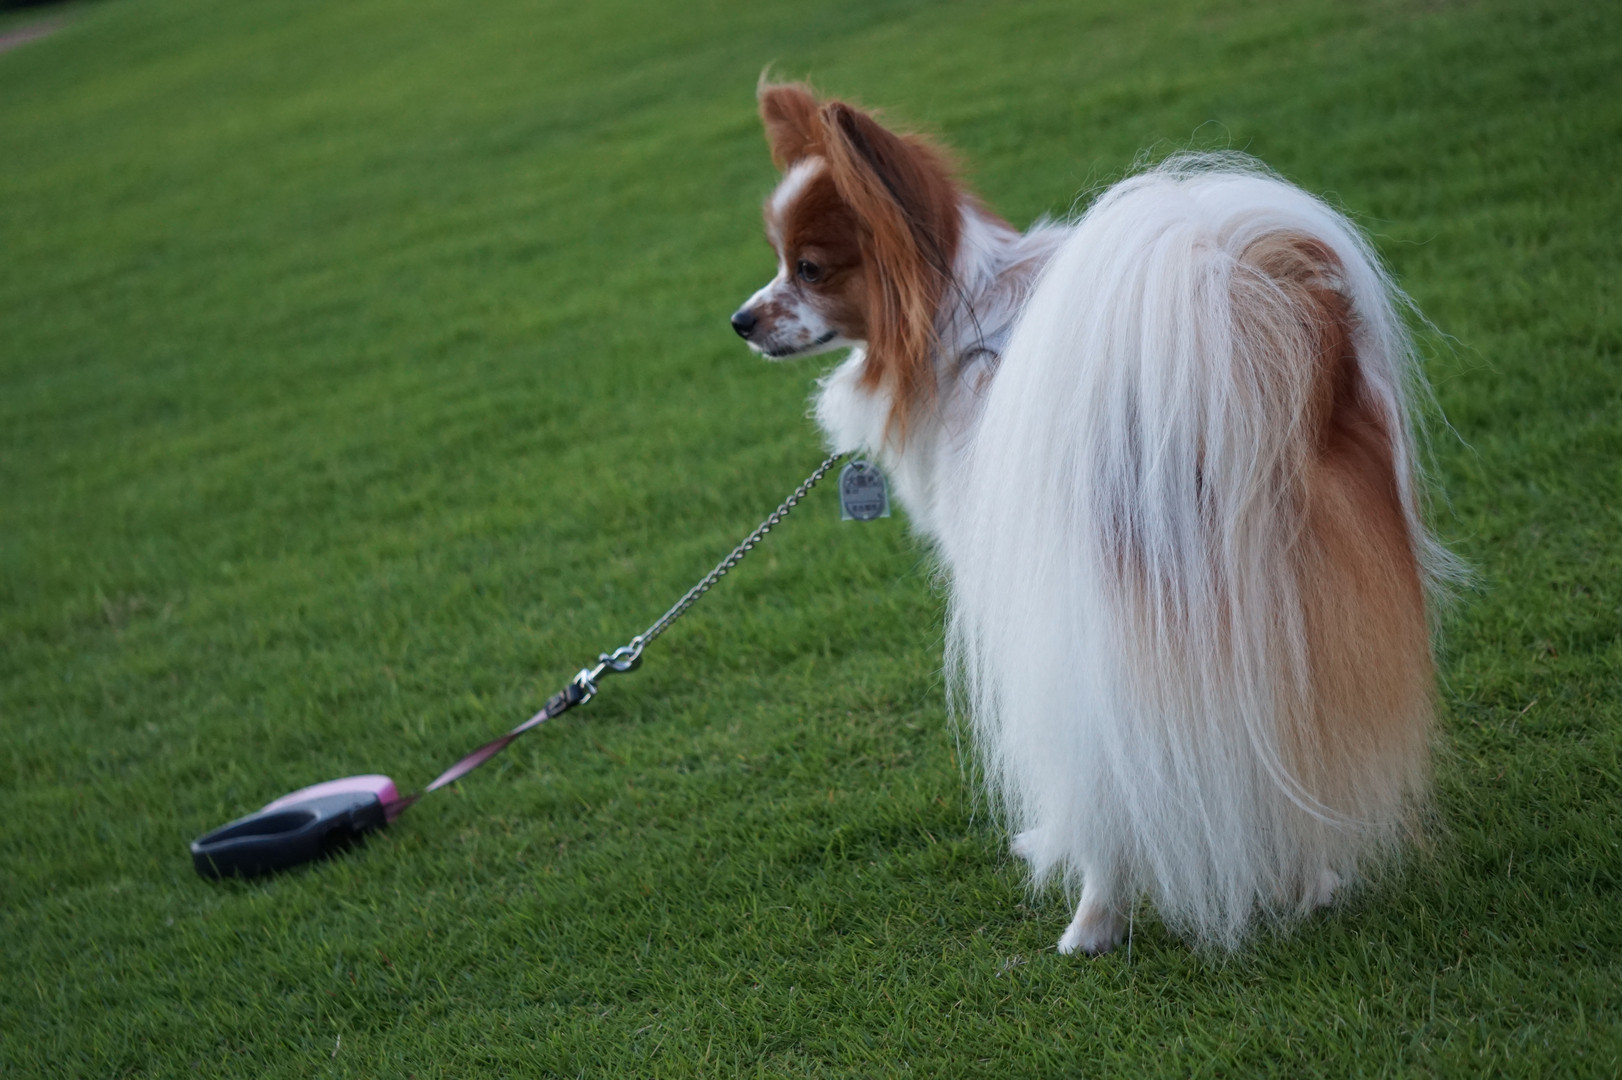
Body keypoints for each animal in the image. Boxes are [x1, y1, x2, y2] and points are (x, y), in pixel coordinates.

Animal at [731, 81, 1457, 954]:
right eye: (779, 263)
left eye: (809, 270)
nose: (740, 320)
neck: (961, 322)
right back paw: (1314, 883)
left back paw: (1092, 922)